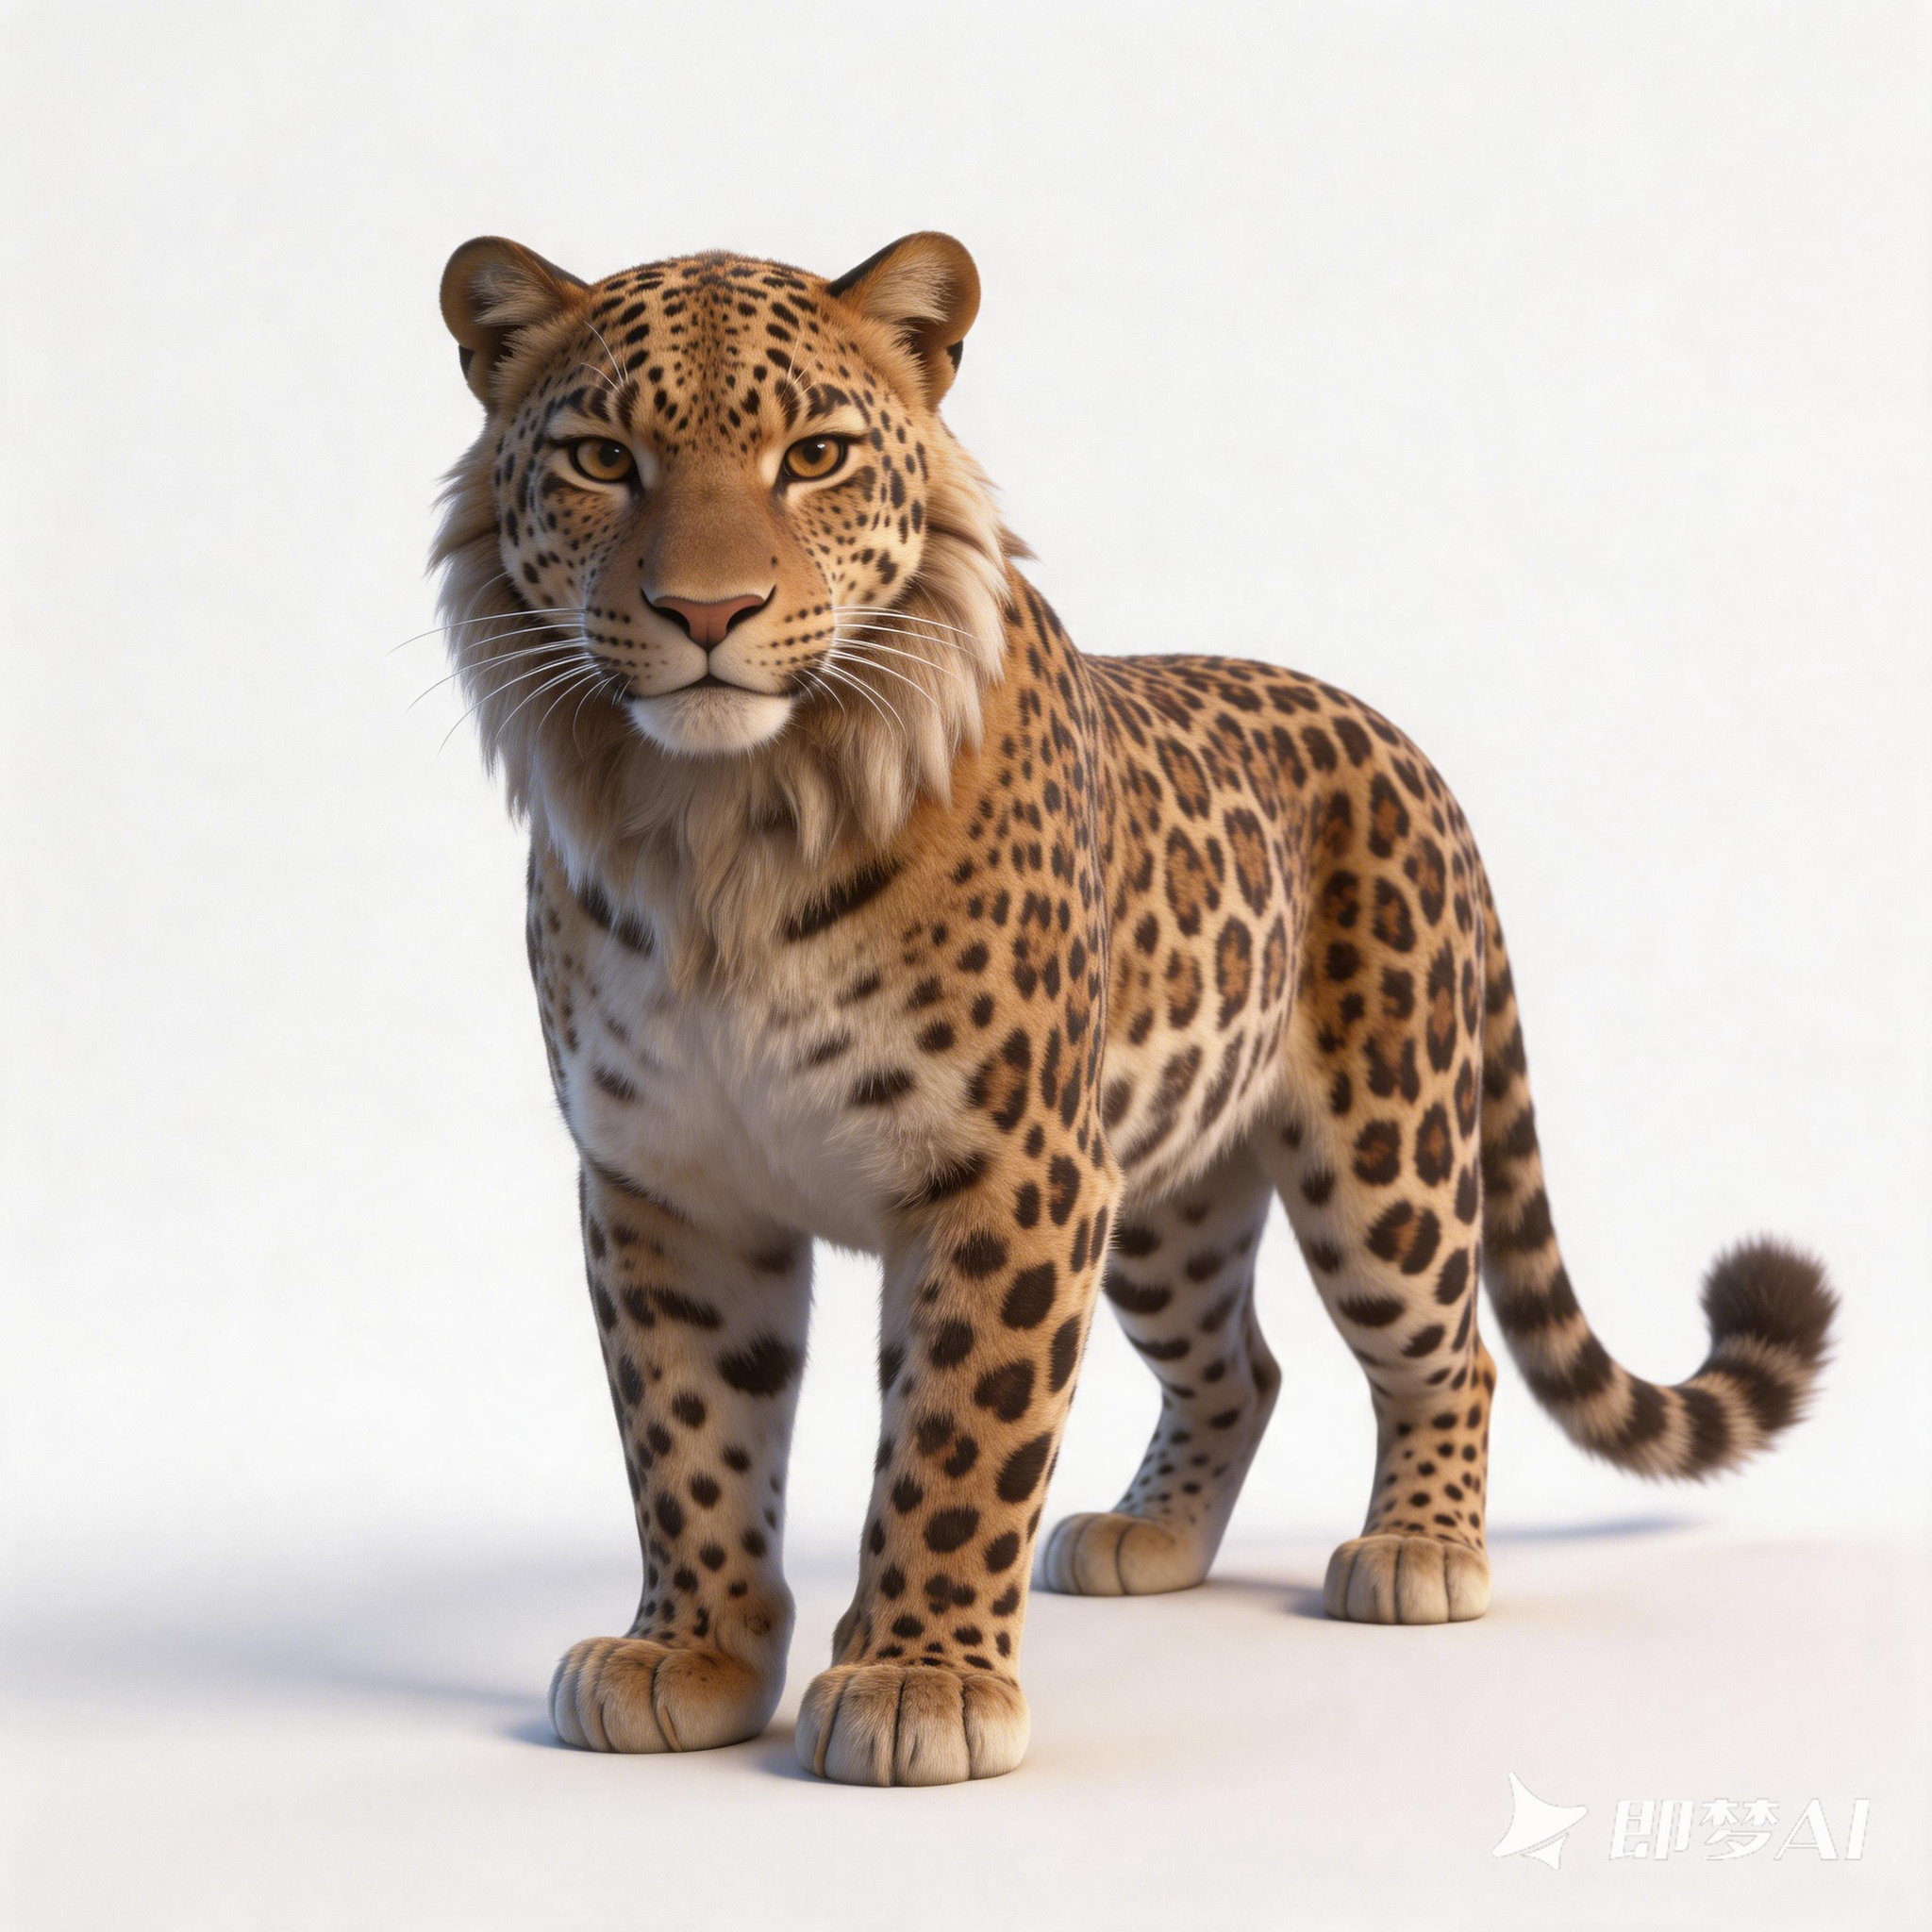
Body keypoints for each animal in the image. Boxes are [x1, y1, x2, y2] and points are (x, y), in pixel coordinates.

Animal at [430, 229, 1836, 1786]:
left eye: (814, 457)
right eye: (603, 458)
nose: (706, 615)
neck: (718, 824)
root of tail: (1403, 745)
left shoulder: (1011, 1176)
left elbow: (959, 1441)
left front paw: (919, 1681)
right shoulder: (665, 1182)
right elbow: (688, 1437)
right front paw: (694, 1653)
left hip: (1385, 1159)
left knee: (1451, 1351)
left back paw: (1418, 1553)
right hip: (1164, 1191)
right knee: (1242, 1366)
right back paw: (1148, 1536)